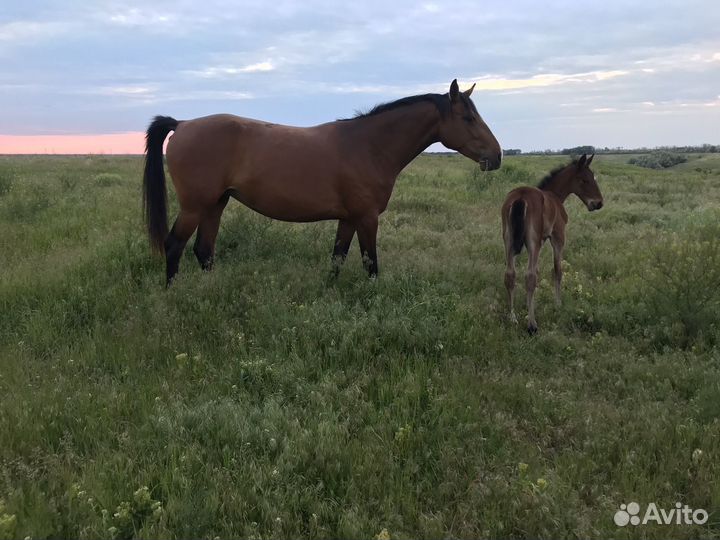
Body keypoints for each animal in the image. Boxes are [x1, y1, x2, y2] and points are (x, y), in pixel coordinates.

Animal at [141, 79, 500, 286]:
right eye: (468, 117)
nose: (496, 156)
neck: (368, 145)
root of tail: (183, 124)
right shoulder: (367, 218)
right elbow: (370, 263)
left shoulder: (349, 218)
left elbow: (337, 258)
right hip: (195, 206)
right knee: (174, 246)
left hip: (216, 204)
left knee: (204, 250)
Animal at [504, 152, 604, 336]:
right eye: (585, 179)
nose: (599, 203)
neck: (555, 195)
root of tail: (521, 196)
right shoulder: (558, 237)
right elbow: (557, 270)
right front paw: (558, 304)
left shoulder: (541, 241)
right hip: (533, 242)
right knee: (529, 277)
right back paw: (532, 325)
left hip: (508, 240)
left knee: (510, 275)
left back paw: (512, 317)